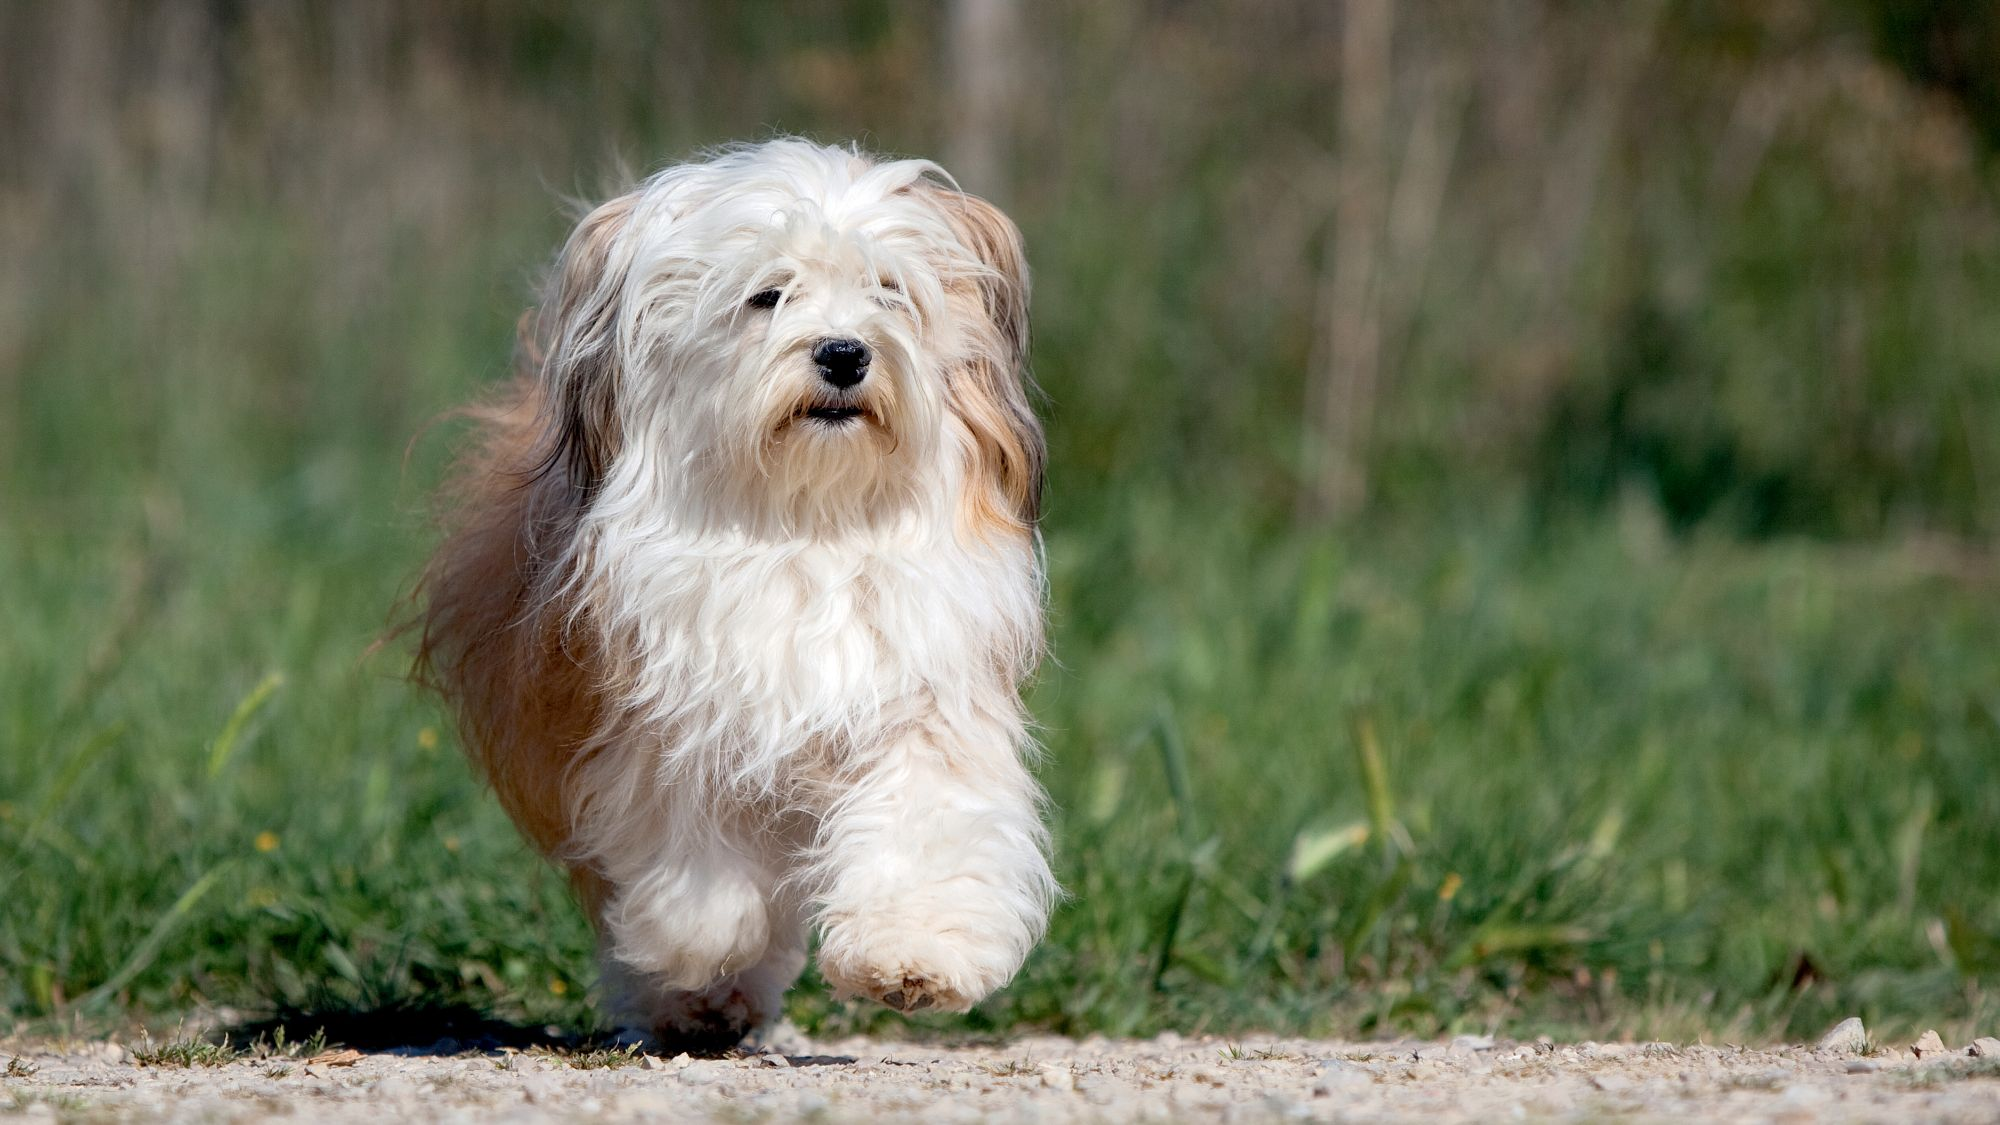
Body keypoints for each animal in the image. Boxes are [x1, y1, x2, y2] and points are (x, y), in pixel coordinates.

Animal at [416, 140, 1056, 1048]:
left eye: (888, 290)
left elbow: (922, 824)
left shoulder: (922, 697)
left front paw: (912, 954)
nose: (844, 353)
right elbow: (697, 875)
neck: (807, 524)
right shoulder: (670, 719)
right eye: (767, 294)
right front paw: (707, 939)